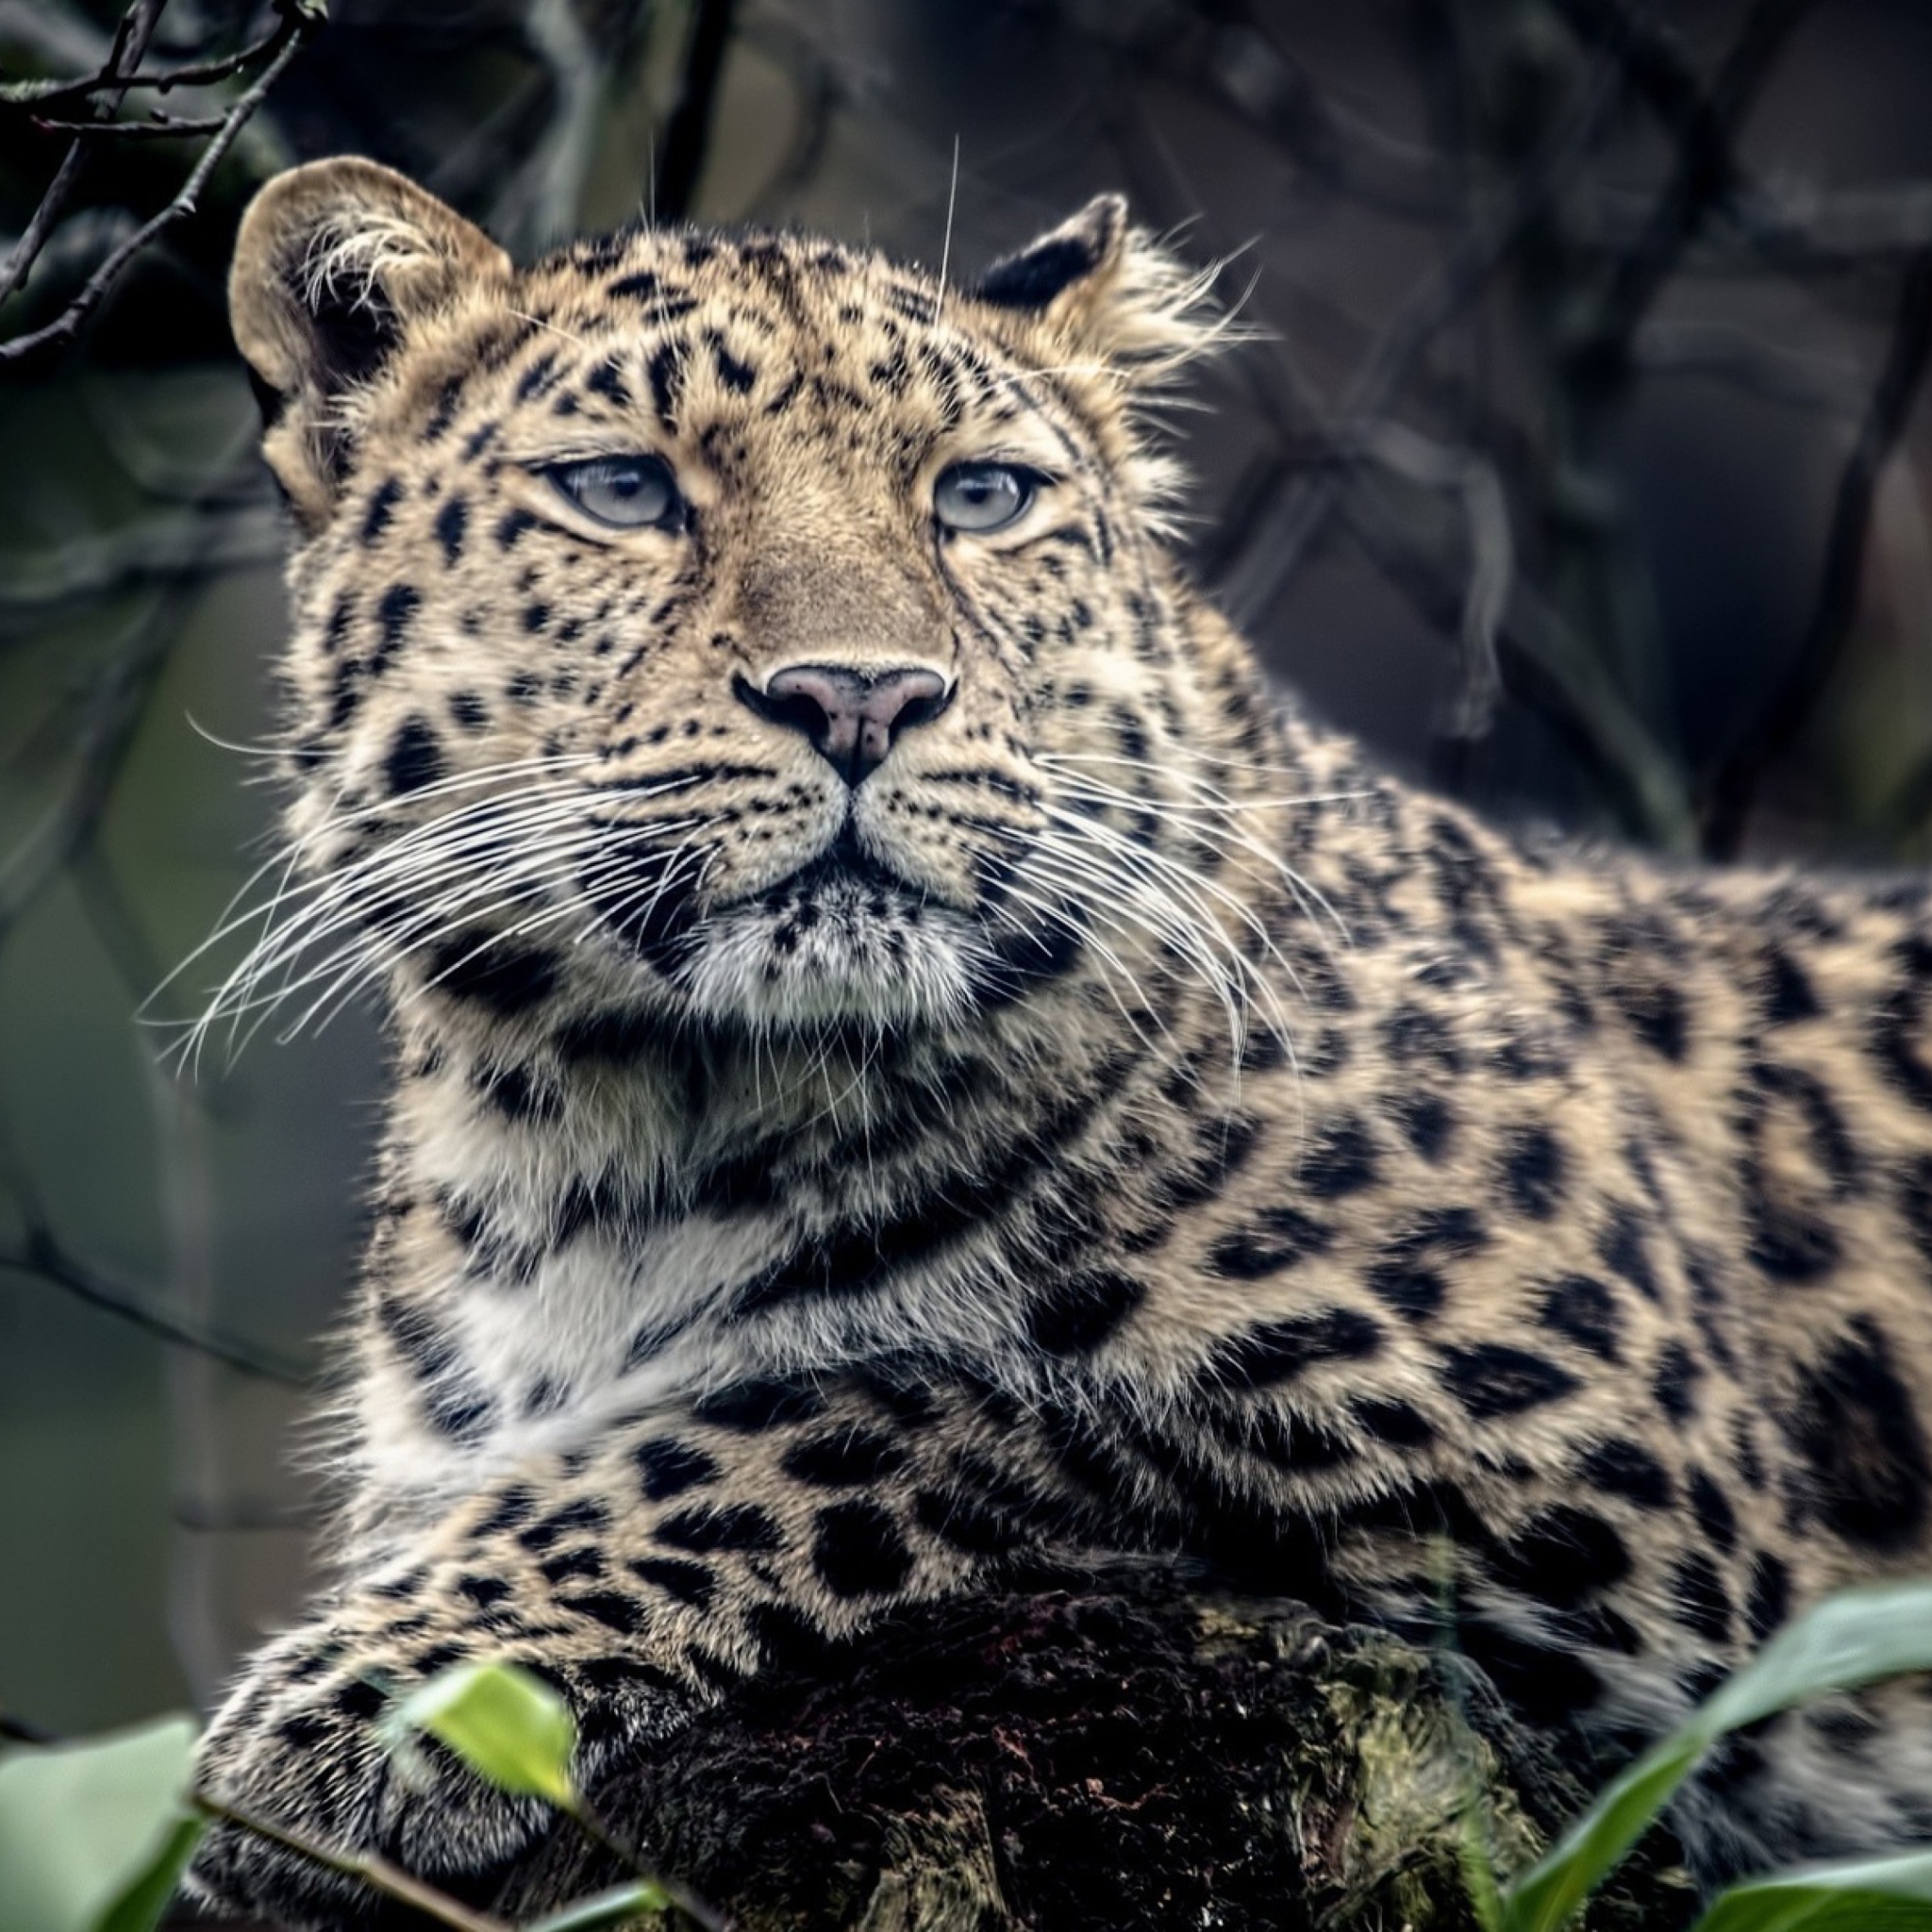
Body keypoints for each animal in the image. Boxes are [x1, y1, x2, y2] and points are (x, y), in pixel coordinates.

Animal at [188, 158, 1932, 1924]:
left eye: (977, 497)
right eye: (621, 489)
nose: (861, 696)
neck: (623, 1123)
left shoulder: (1597, 1482)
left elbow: (872, 1401)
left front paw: (358, 1706)